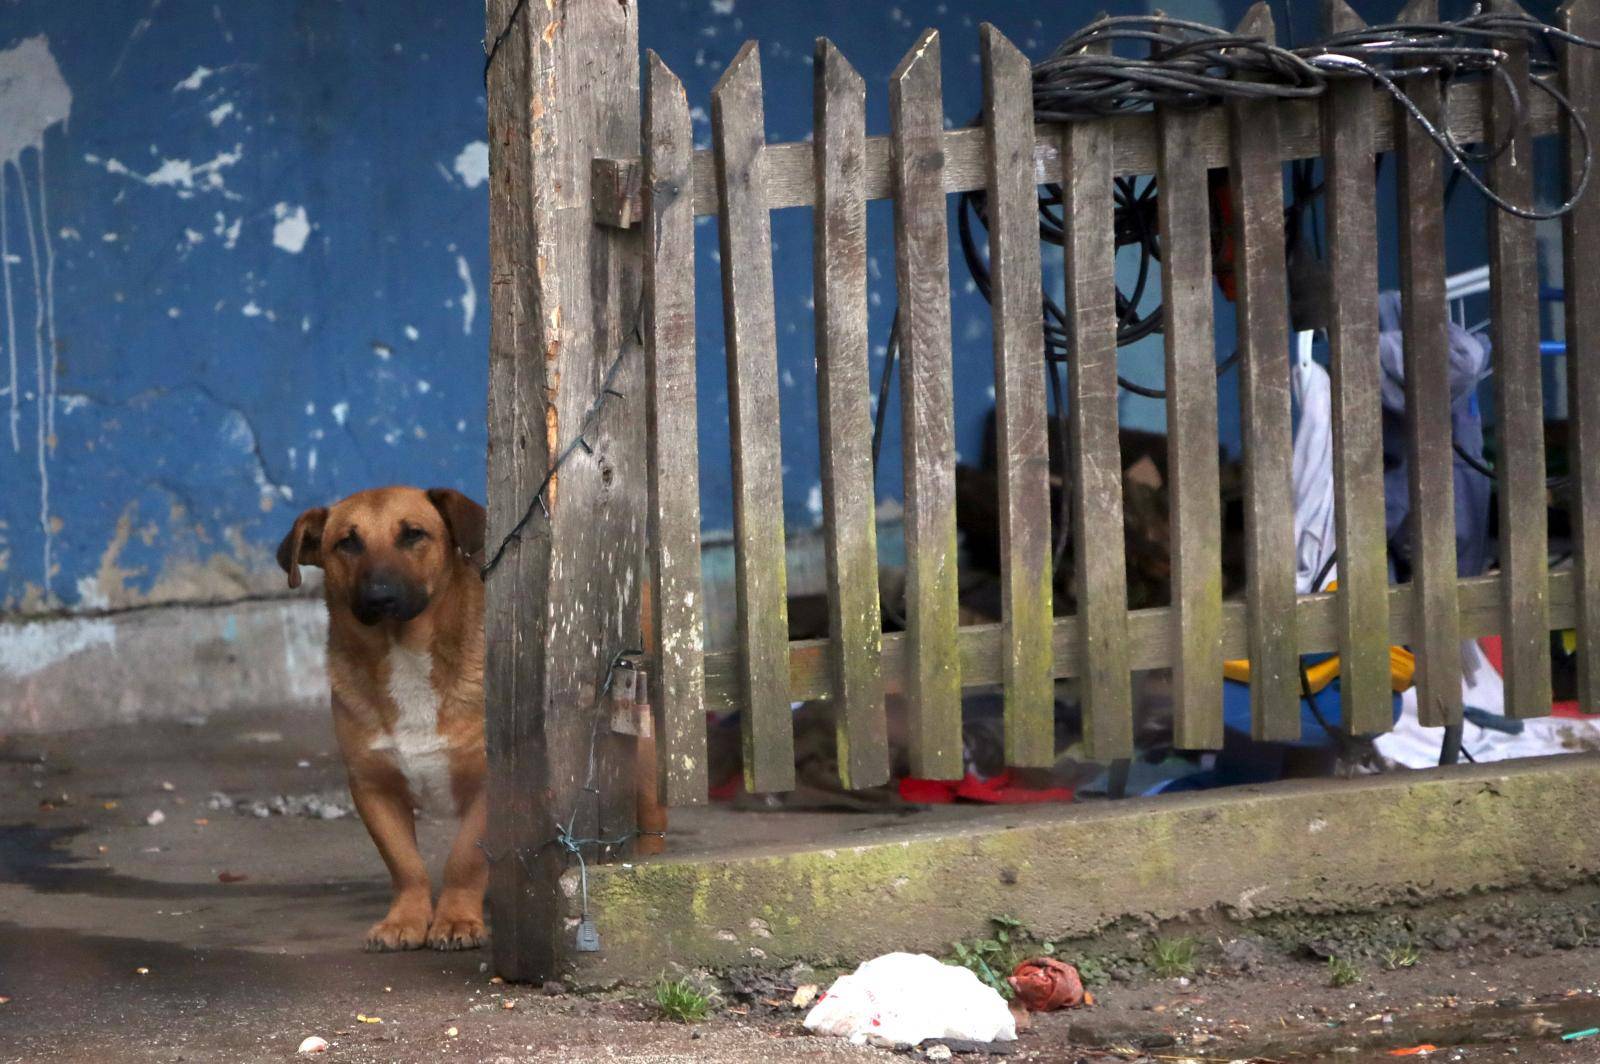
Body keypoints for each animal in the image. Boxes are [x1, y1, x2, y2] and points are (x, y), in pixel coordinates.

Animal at [278, 486, 486, 947]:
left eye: (413, 534)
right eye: (347, 542)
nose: (379, 596)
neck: (403, 654)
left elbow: (464, 857)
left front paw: (457, 918)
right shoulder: (373, 786)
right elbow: (405, 862)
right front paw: (405, 919)